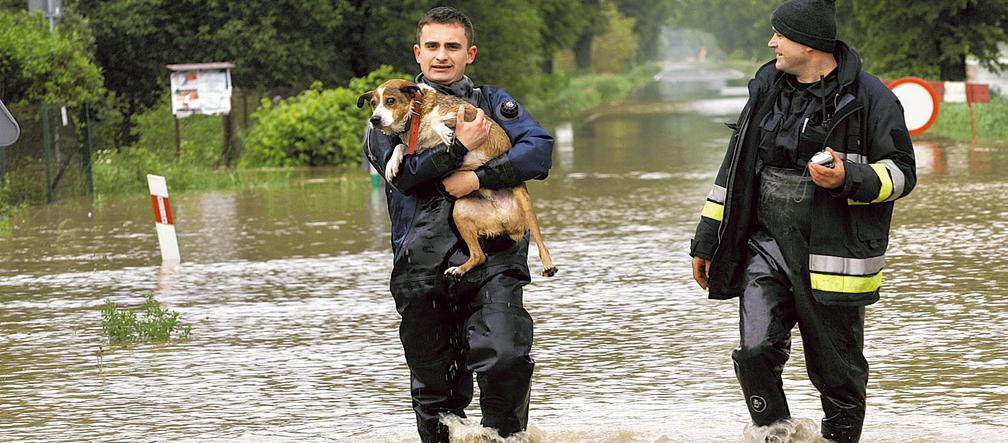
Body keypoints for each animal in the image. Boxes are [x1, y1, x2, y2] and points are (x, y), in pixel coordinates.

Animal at [356, 78, 560, 278]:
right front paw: (392, 163)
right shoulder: (418, 148)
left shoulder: (470, 114)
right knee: (479, 256)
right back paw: (459, 269)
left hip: (525, 204)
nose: (374, 120)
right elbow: (401, 146)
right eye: (373, 104)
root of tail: (503, 220)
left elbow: (438, 119)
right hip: (460, 212)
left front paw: (442, 130)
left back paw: (548, 265)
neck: (417, 115)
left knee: (541, 243)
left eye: (390, 101)